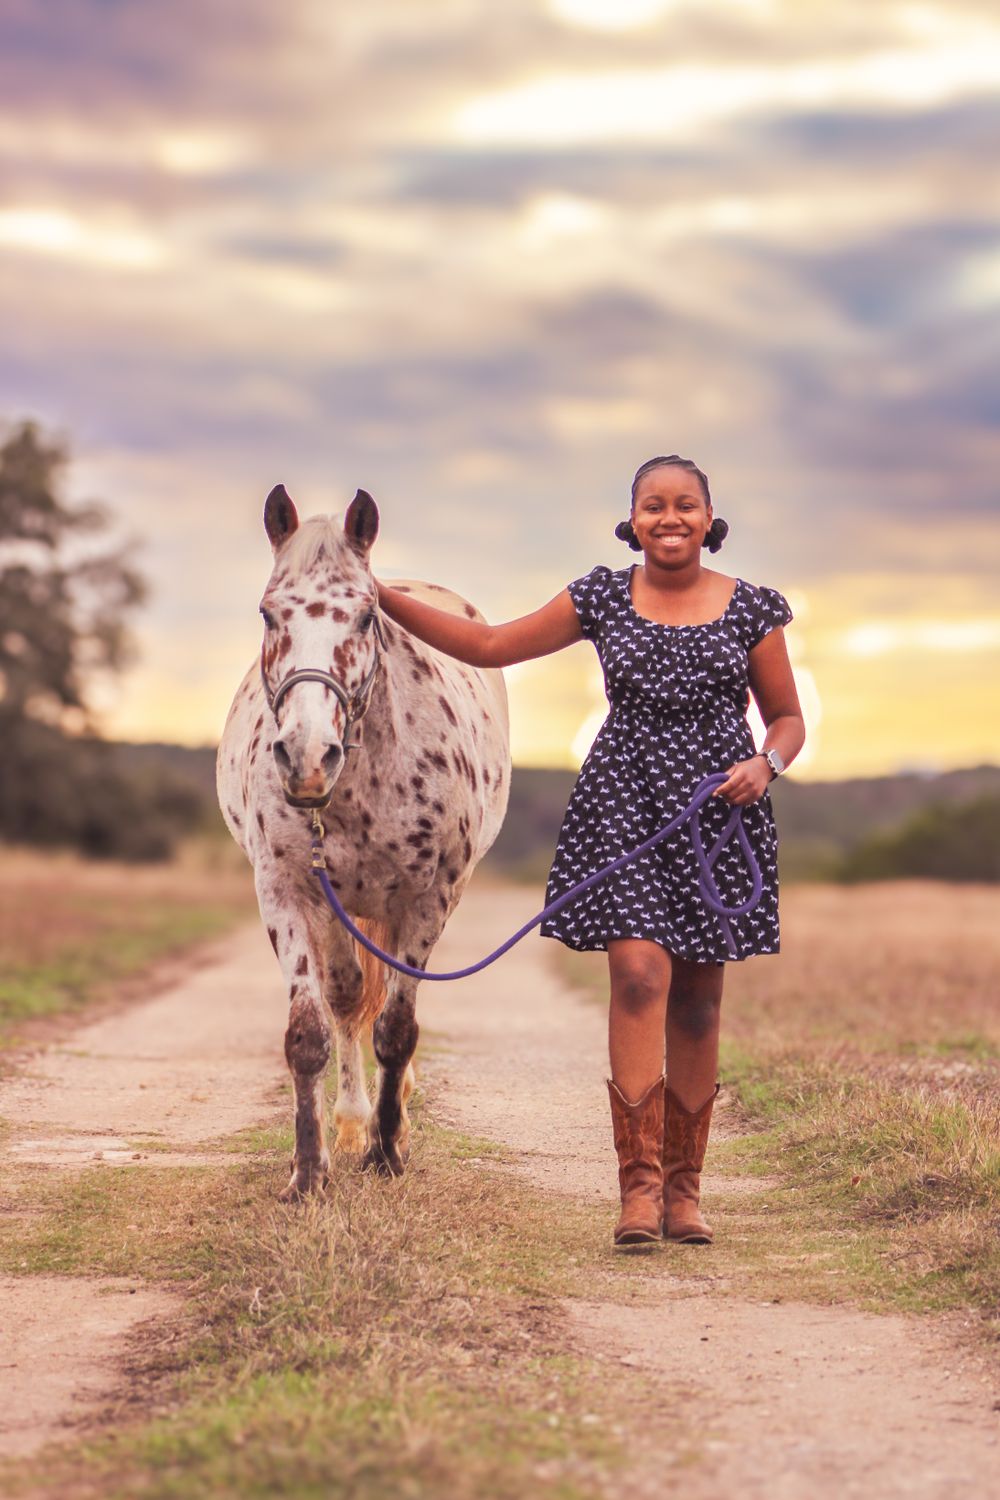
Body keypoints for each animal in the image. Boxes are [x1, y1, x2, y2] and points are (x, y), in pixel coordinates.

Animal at [216, 485, 511, 1197]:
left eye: (366, 615)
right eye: (268, 614)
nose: (306, 757)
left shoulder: (426, 902)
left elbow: (398, 1030)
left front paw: (388, 1152)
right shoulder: (287, 894)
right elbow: (310, 1033)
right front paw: (309, 1170)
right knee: (348, 996)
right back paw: (352, 1122)